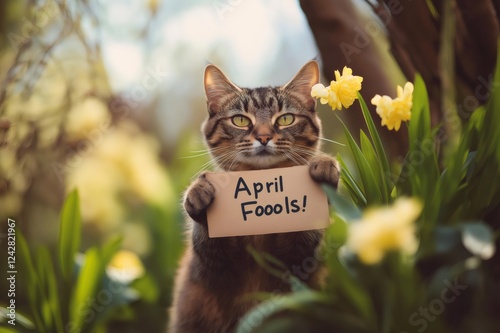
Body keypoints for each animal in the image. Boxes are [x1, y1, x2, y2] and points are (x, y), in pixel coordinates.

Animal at [169, 60, 340, 332]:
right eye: (240, 120)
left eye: (286, 119)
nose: (263, 137)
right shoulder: (212, 268)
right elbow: (208, 241)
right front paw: (199, 193)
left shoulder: (297, 261)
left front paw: (324, 168)